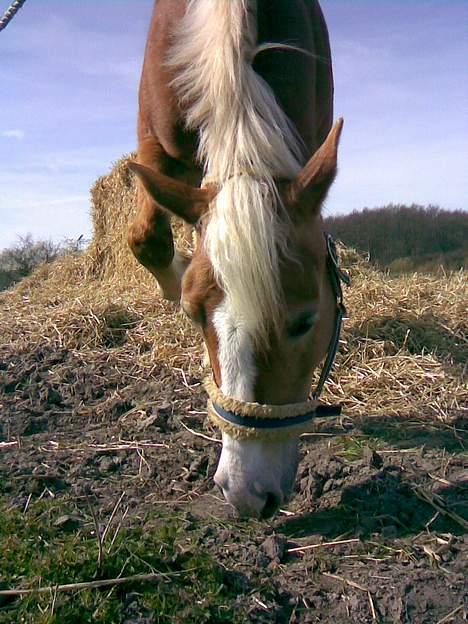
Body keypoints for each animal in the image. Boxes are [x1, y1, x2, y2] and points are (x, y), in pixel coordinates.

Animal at [127, 0, 344, 516]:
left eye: (305, 321)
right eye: (194, 315)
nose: (244, 492)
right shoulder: (152, 141)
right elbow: (147, 239)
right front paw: (179, 277)